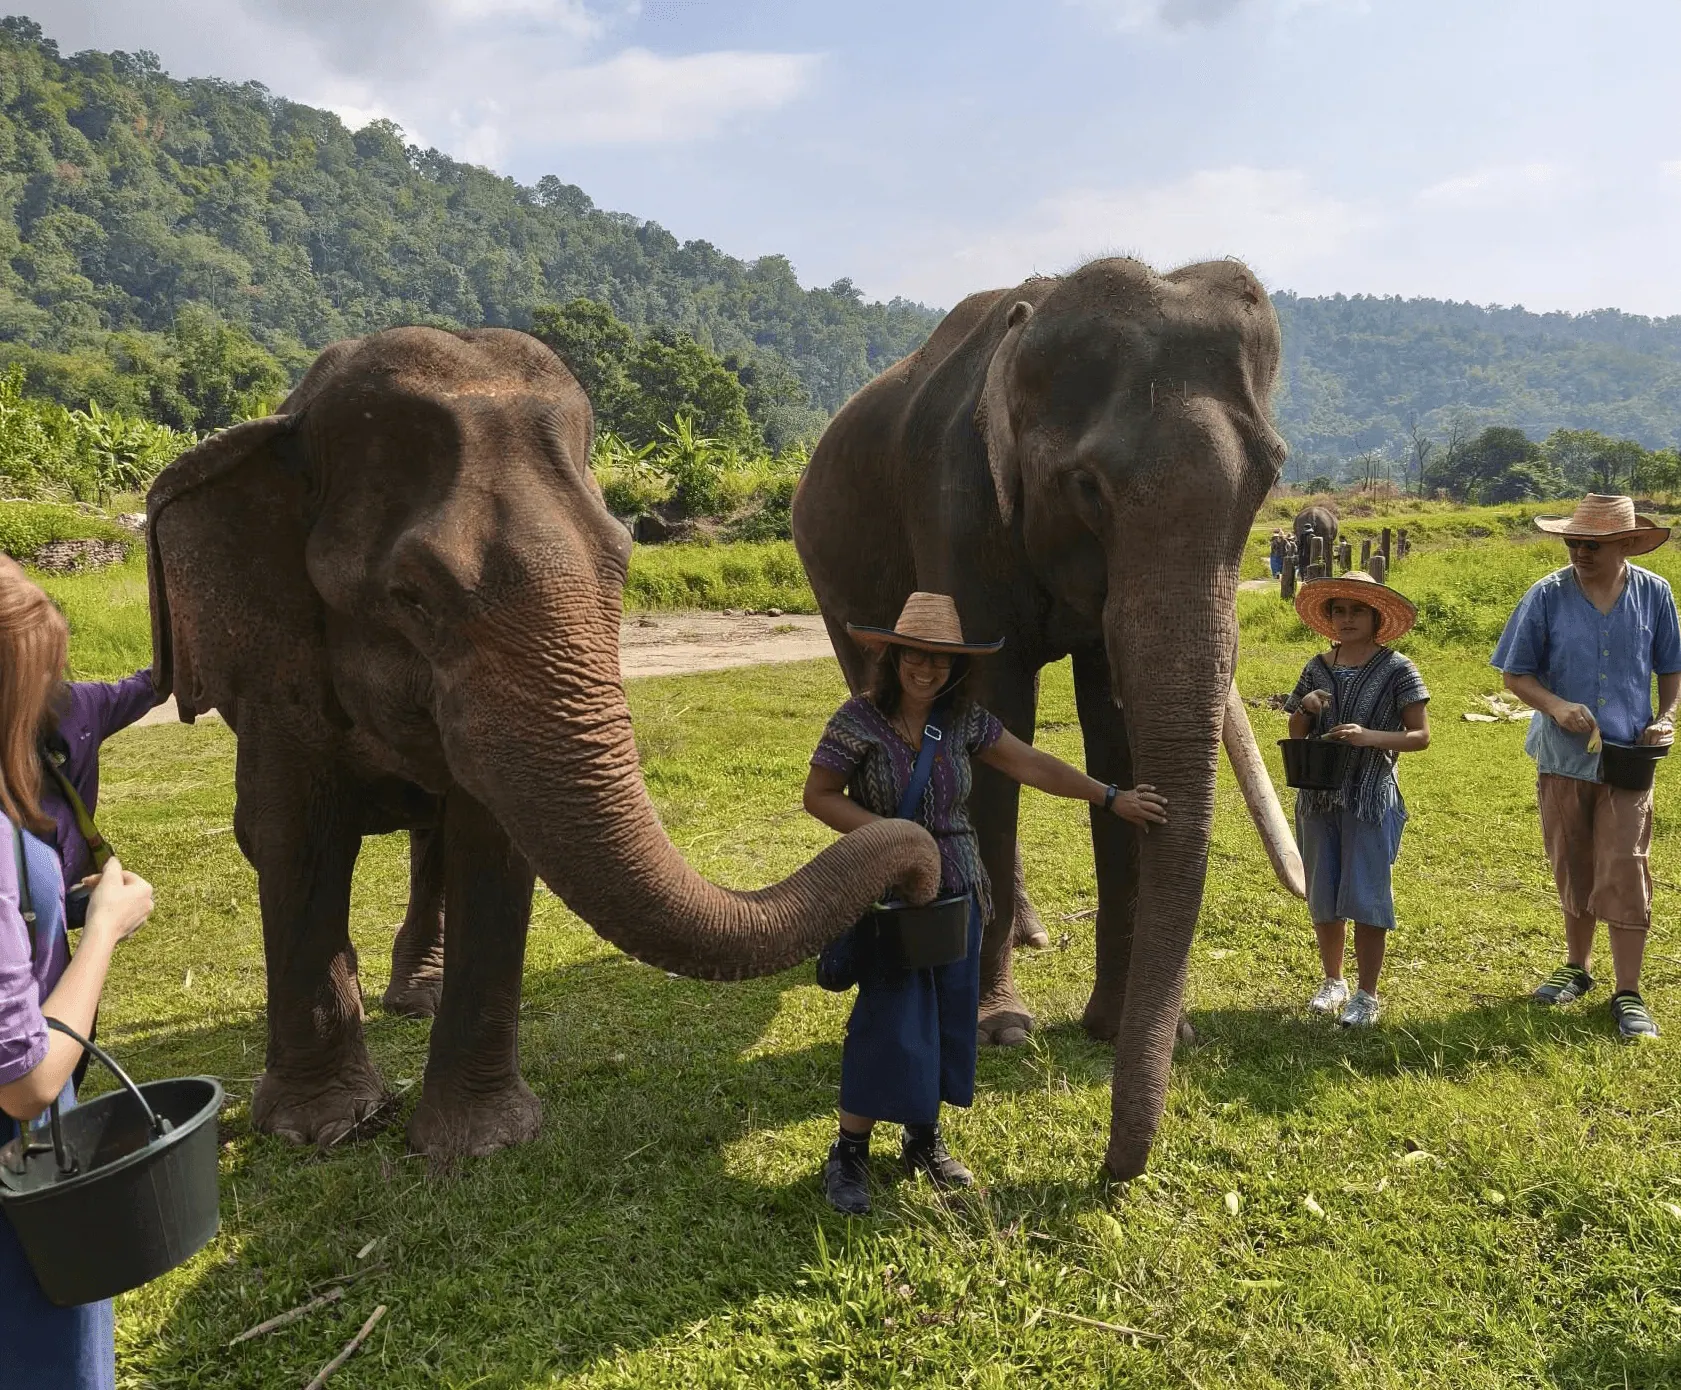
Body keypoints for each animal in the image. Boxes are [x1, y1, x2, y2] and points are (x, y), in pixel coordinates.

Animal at [146, 326, 941, 1158]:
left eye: (621, 561)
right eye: (411, 597)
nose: (922, 870)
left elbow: (490, 844)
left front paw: (478, 1146)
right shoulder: (275, 672)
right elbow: (295, 838)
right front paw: (321, 1127)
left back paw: (415, 997)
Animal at [792, 256, 1304, 1180]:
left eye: (1267, 482)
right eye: (1087, 487)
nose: (1109, 1170)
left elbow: (1112, 725)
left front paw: (1134, 1027)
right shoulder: (954, 506)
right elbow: (993, 718)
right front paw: (1000, 1027)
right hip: (826, 572)